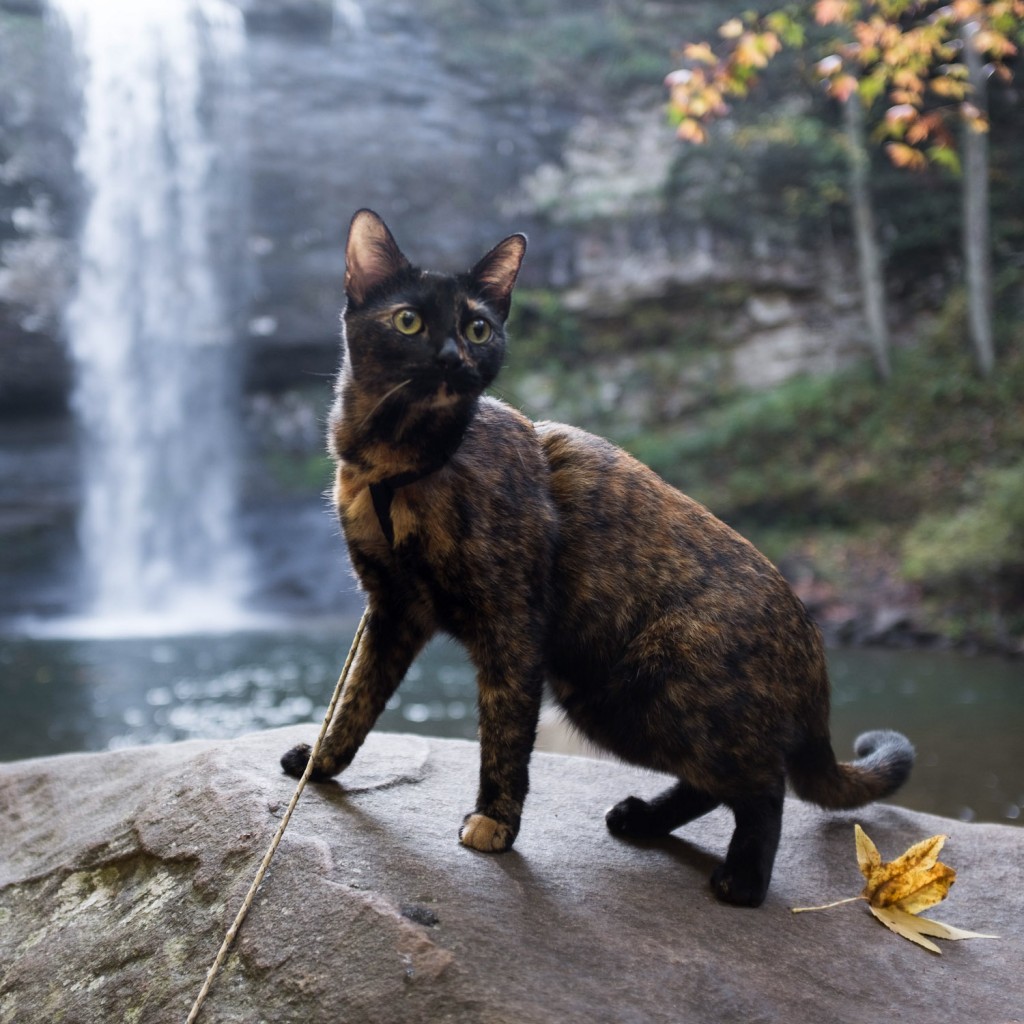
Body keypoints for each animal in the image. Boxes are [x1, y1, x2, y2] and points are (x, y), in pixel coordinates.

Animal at [282, 207, 913, 905]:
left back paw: (743, 880)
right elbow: (356, 701)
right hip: (612, 699)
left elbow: (503, 735)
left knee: (764, 786)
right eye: (409, 321)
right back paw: (643, 819)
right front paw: (321, 764)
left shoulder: (511, 625)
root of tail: (814, 653)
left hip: (647, 694)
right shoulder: (392, 609)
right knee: (717, 781)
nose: (453, 356)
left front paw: (495, 821)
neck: (396, 465)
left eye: (478, 327)